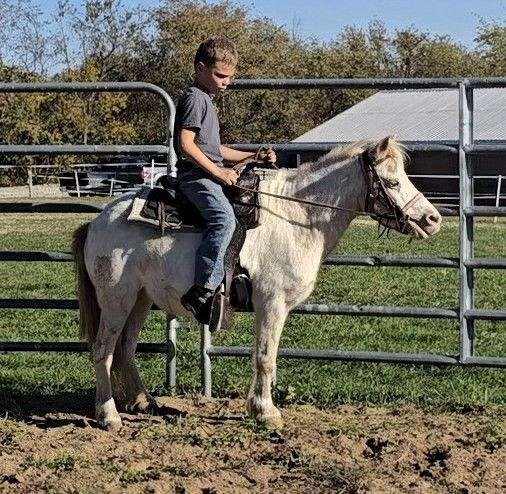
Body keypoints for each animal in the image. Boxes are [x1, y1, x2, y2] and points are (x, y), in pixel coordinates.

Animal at [71, 137, 442, 430]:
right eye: (391, 182)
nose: (432, 219)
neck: (296, 219)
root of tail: (97, 222)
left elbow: (265, 355)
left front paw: (258, 408)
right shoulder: (272, 303)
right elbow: (265, 356)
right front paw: (266, 413)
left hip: (140, 300)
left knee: (124, 349)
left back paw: (142, 402)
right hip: (116, 300)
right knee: (103, 350)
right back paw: (108, 416)